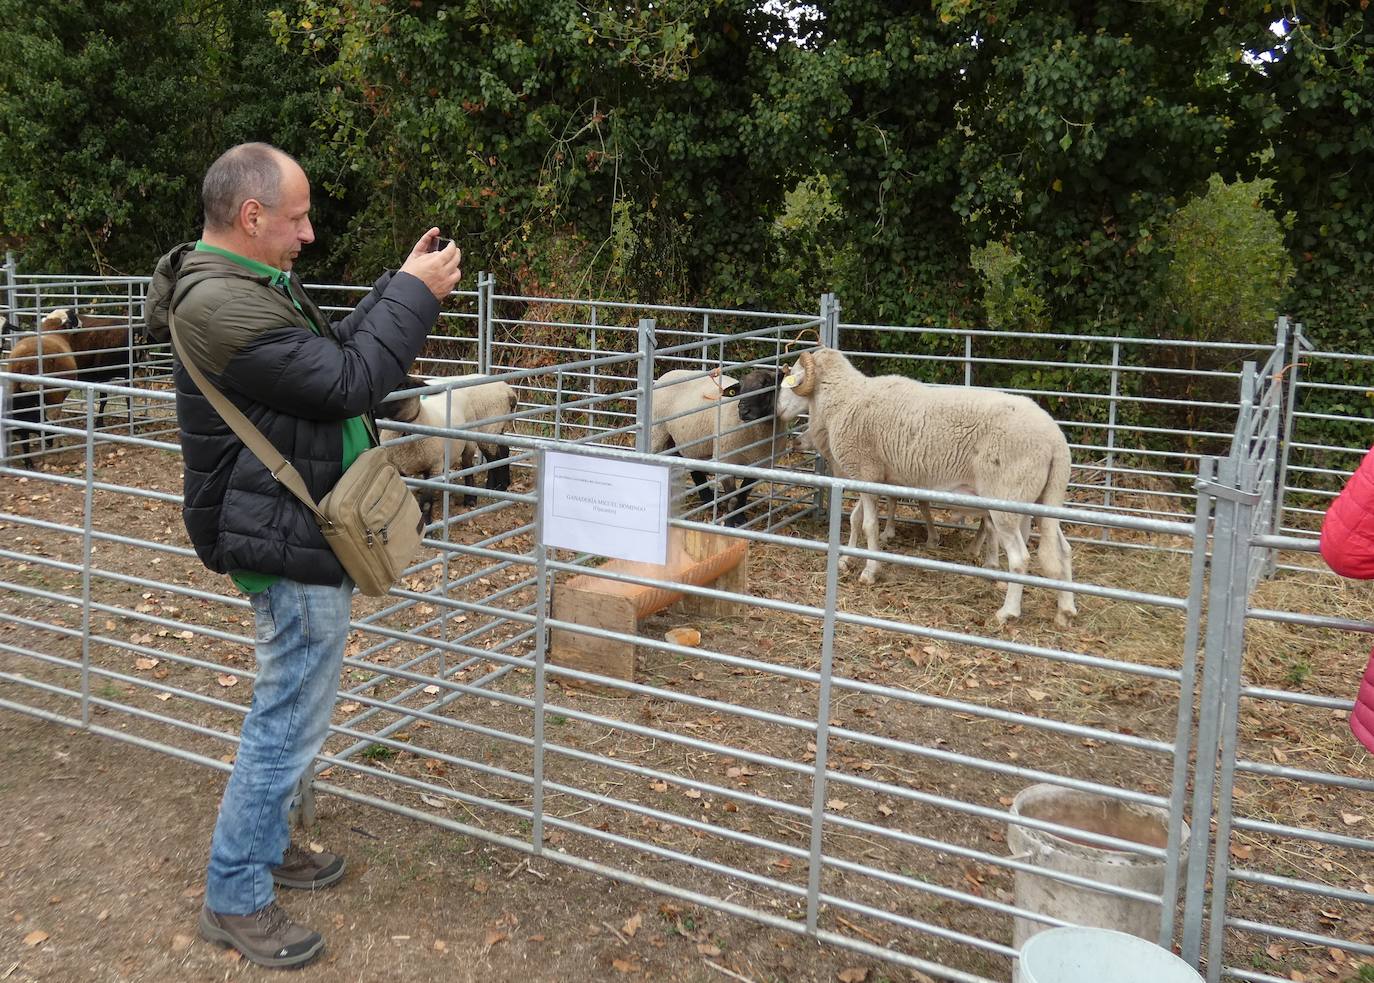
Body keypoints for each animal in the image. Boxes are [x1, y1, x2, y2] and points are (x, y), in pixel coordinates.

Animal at [774, 350, 1071, 626]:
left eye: (793, 378)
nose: (778, 412)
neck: (844, 399)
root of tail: (1056, 441)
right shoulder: (873, 476)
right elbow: (856, 518)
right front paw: (846, 559)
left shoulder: (866, 472)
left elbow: (869, 524)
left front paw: (869, 571)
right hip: (1041, 499)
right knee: (1062, 549)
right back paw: (1065, 611)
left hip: (1007, 499)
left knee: (1020, 557)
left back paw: (1007, 612)